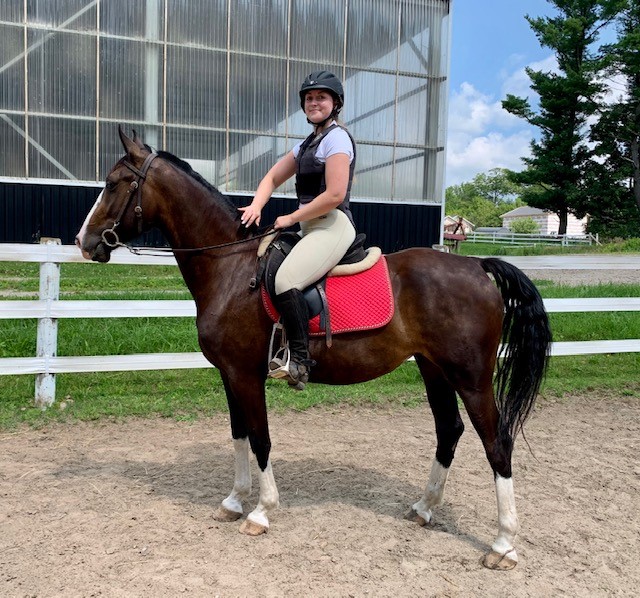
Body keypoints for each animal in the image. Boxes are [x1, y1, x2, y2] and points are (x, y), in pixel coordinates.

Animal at [76, 127, 552, 570]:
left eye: (114, 183)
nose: (84, 242)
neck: (231, 268)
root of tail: (477, 266)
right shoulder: (229, 374)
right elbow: (239, 435)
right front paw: (234, 501)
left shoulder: (246, 375)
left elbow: (261, 438)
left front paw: (262, 512)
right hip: (434, 368)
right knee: (449, 430)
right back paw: (424, 509)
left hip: (471, 377)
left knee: (497, 442)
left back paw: (503, 545)